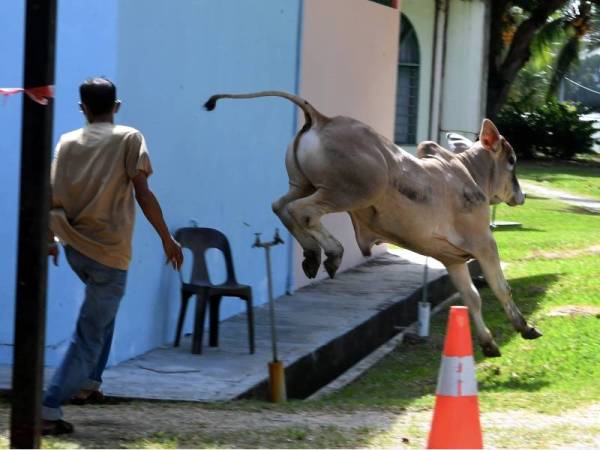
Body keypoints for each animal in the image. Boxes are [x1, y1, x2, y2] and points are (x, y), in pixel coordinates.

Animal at [204, 90, 540, 356]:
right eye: (511, 161)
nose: (521, 195)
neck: (466, 173)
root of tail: (323, 119)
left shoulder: (453, 259)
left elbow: (472, 298)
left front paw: (488, 343)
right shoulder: (484, 244)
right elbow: (500, 288)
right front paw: (524, 327)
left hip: (302, 184)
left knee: (281, 206)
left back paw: (313, 256)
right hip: (348, 192)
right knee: (304, 212)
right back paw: (331, 253)